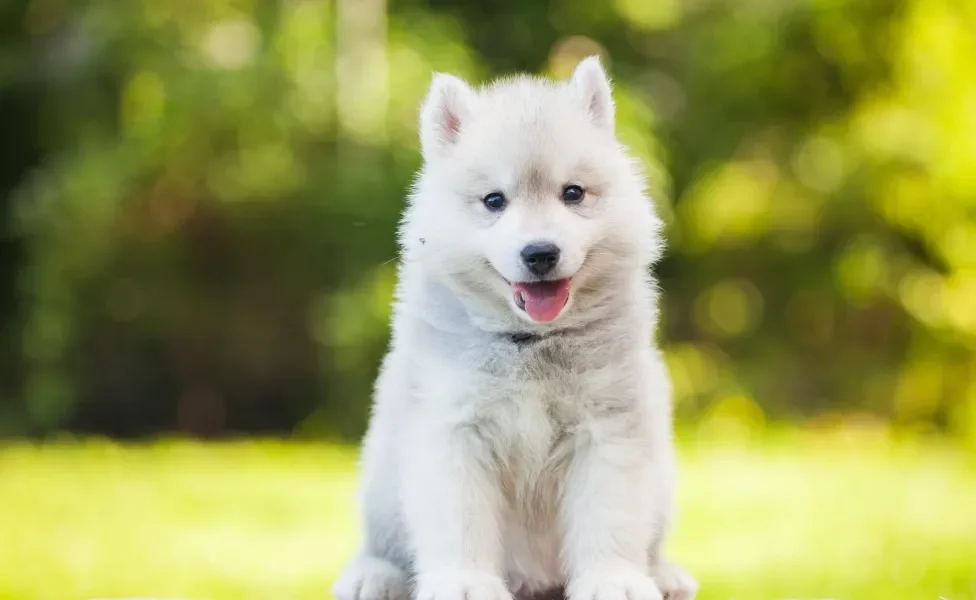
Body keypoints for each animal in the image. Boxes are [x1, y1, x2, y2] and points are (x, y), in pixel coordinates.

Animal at [332, 56, 696, 600]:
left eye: (573, 193)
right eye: (494, 200)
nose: (540, 253)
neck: (529, 342)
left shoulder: (607, 429)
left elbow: (608, 518)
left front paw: (613, 581)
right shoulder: (454, 430)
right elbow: (460, 522)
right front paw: (463, 583)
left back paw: (665, 575)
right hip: (381, 480)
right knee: (384, 544)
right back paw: (372, 575)